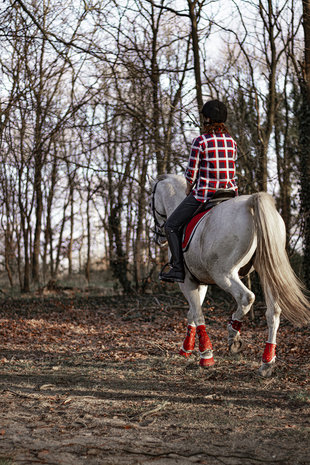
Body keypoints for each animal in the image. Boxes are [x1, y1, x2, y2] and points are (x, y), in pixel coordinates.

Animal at [151, 174, 310, 376]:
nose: (159, 238)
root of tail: (249, 202)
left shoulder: (186, 281)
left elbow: (197, 314)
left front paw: (206, 355)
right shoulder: (200, 282)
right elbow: (192, 313)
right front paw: (186, 348)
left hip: (224, 275)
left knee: (246, 297)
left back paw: (233, 335)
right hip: (267, 272)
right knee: (273, 312)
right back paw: (267, 362)